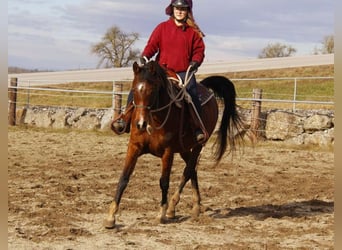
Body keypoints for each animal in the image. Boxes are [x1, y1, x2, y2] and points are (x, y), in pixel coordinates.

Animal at [103, 60, 243, 229]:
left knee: (188, 171)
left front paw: (161, 213)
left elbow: (164, 182)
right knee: (193, 170)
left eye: (153, 89)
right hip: (184, 148)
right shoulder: (134, 147)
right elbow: (123, 178)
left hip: (198, 145)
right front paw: (111, 216)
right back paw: (195, 206)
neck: (153, 119)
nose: (140, 124)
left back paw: (172, 207)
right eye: (134, 89)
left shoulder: (167, 152)